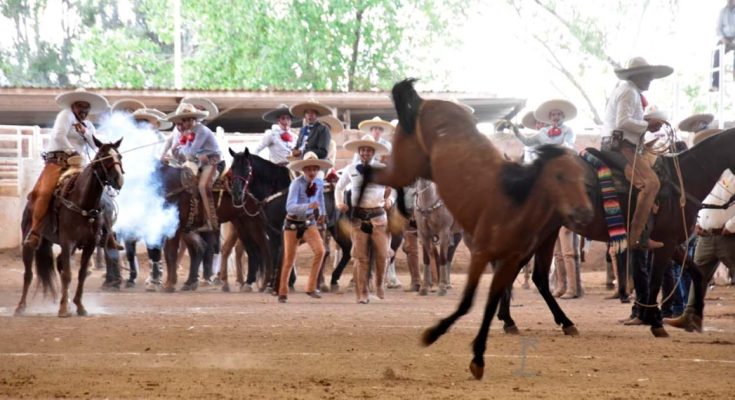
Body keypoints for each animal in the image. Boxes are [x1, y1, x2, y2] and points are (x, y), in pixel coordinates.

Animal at [15, 136, 124, 318]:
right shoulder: (67, 242)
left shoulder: (89, 245)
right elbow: (67, 274)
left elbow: (81, 274)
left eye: (119, 156)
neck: (83, 202)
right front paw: (64, 309)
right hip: (29, 241)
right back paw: (20, 307)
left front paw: (79, 306)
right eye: (104, 156)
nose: (119, 180)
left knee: (59, 263)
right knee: (28, 274)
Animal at [364, 79, 600, 382]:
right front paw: (433, 334)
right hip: (404, 166)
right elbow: (467, 302)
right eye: (559, 176)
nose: (585, 212)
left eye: (584, 180)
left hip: (420, 170)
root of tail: (425, 102)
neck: (514, 204)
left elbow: (490, 304)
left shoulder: (509, 261)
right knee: (368, 172)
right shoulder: (481, 254)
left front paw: (478, 356)